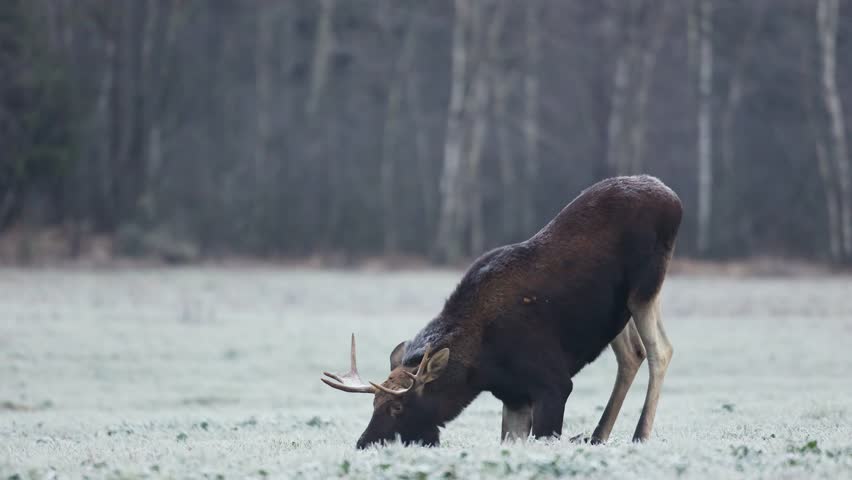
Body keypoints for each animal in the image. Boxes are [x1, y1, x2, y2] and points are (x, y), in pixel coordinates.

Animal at [321, 175, 682, 449]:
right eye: (374, 403)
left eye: (397, 406)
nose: (363, 442)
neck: (482, 365)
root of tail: (674, 199)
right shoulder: (513, 396)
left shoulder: (554, 382)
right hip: (618, 313)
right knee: (632, 354)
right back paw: (598, 435)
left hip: (645, 287)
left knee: (660, 350)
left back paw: (639, 435)